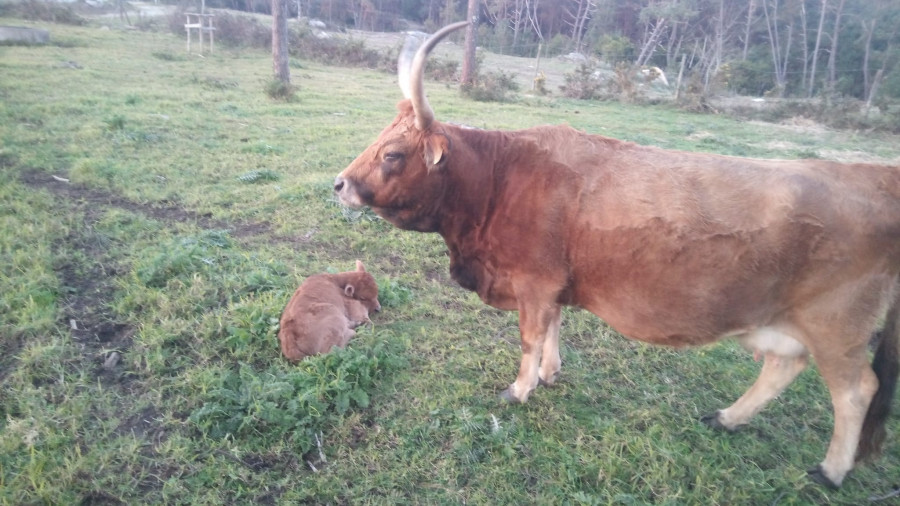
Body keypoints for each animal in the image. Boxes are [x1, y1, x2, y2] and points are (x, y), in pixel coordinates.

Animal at [332, 21, 900, 488]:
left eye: (393, 154)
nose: (340, 184)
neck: (498, 179)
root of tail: (876, 175)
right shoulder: (554, 285)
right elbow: (554, 329)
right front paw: (550, 373)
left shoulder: (534, 284)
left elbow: (530, 337)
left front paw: (520, 389)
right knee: (784, 366)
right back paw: (728, 418)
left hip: (837, 326)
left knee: (855, 391)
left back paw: (831, 471)